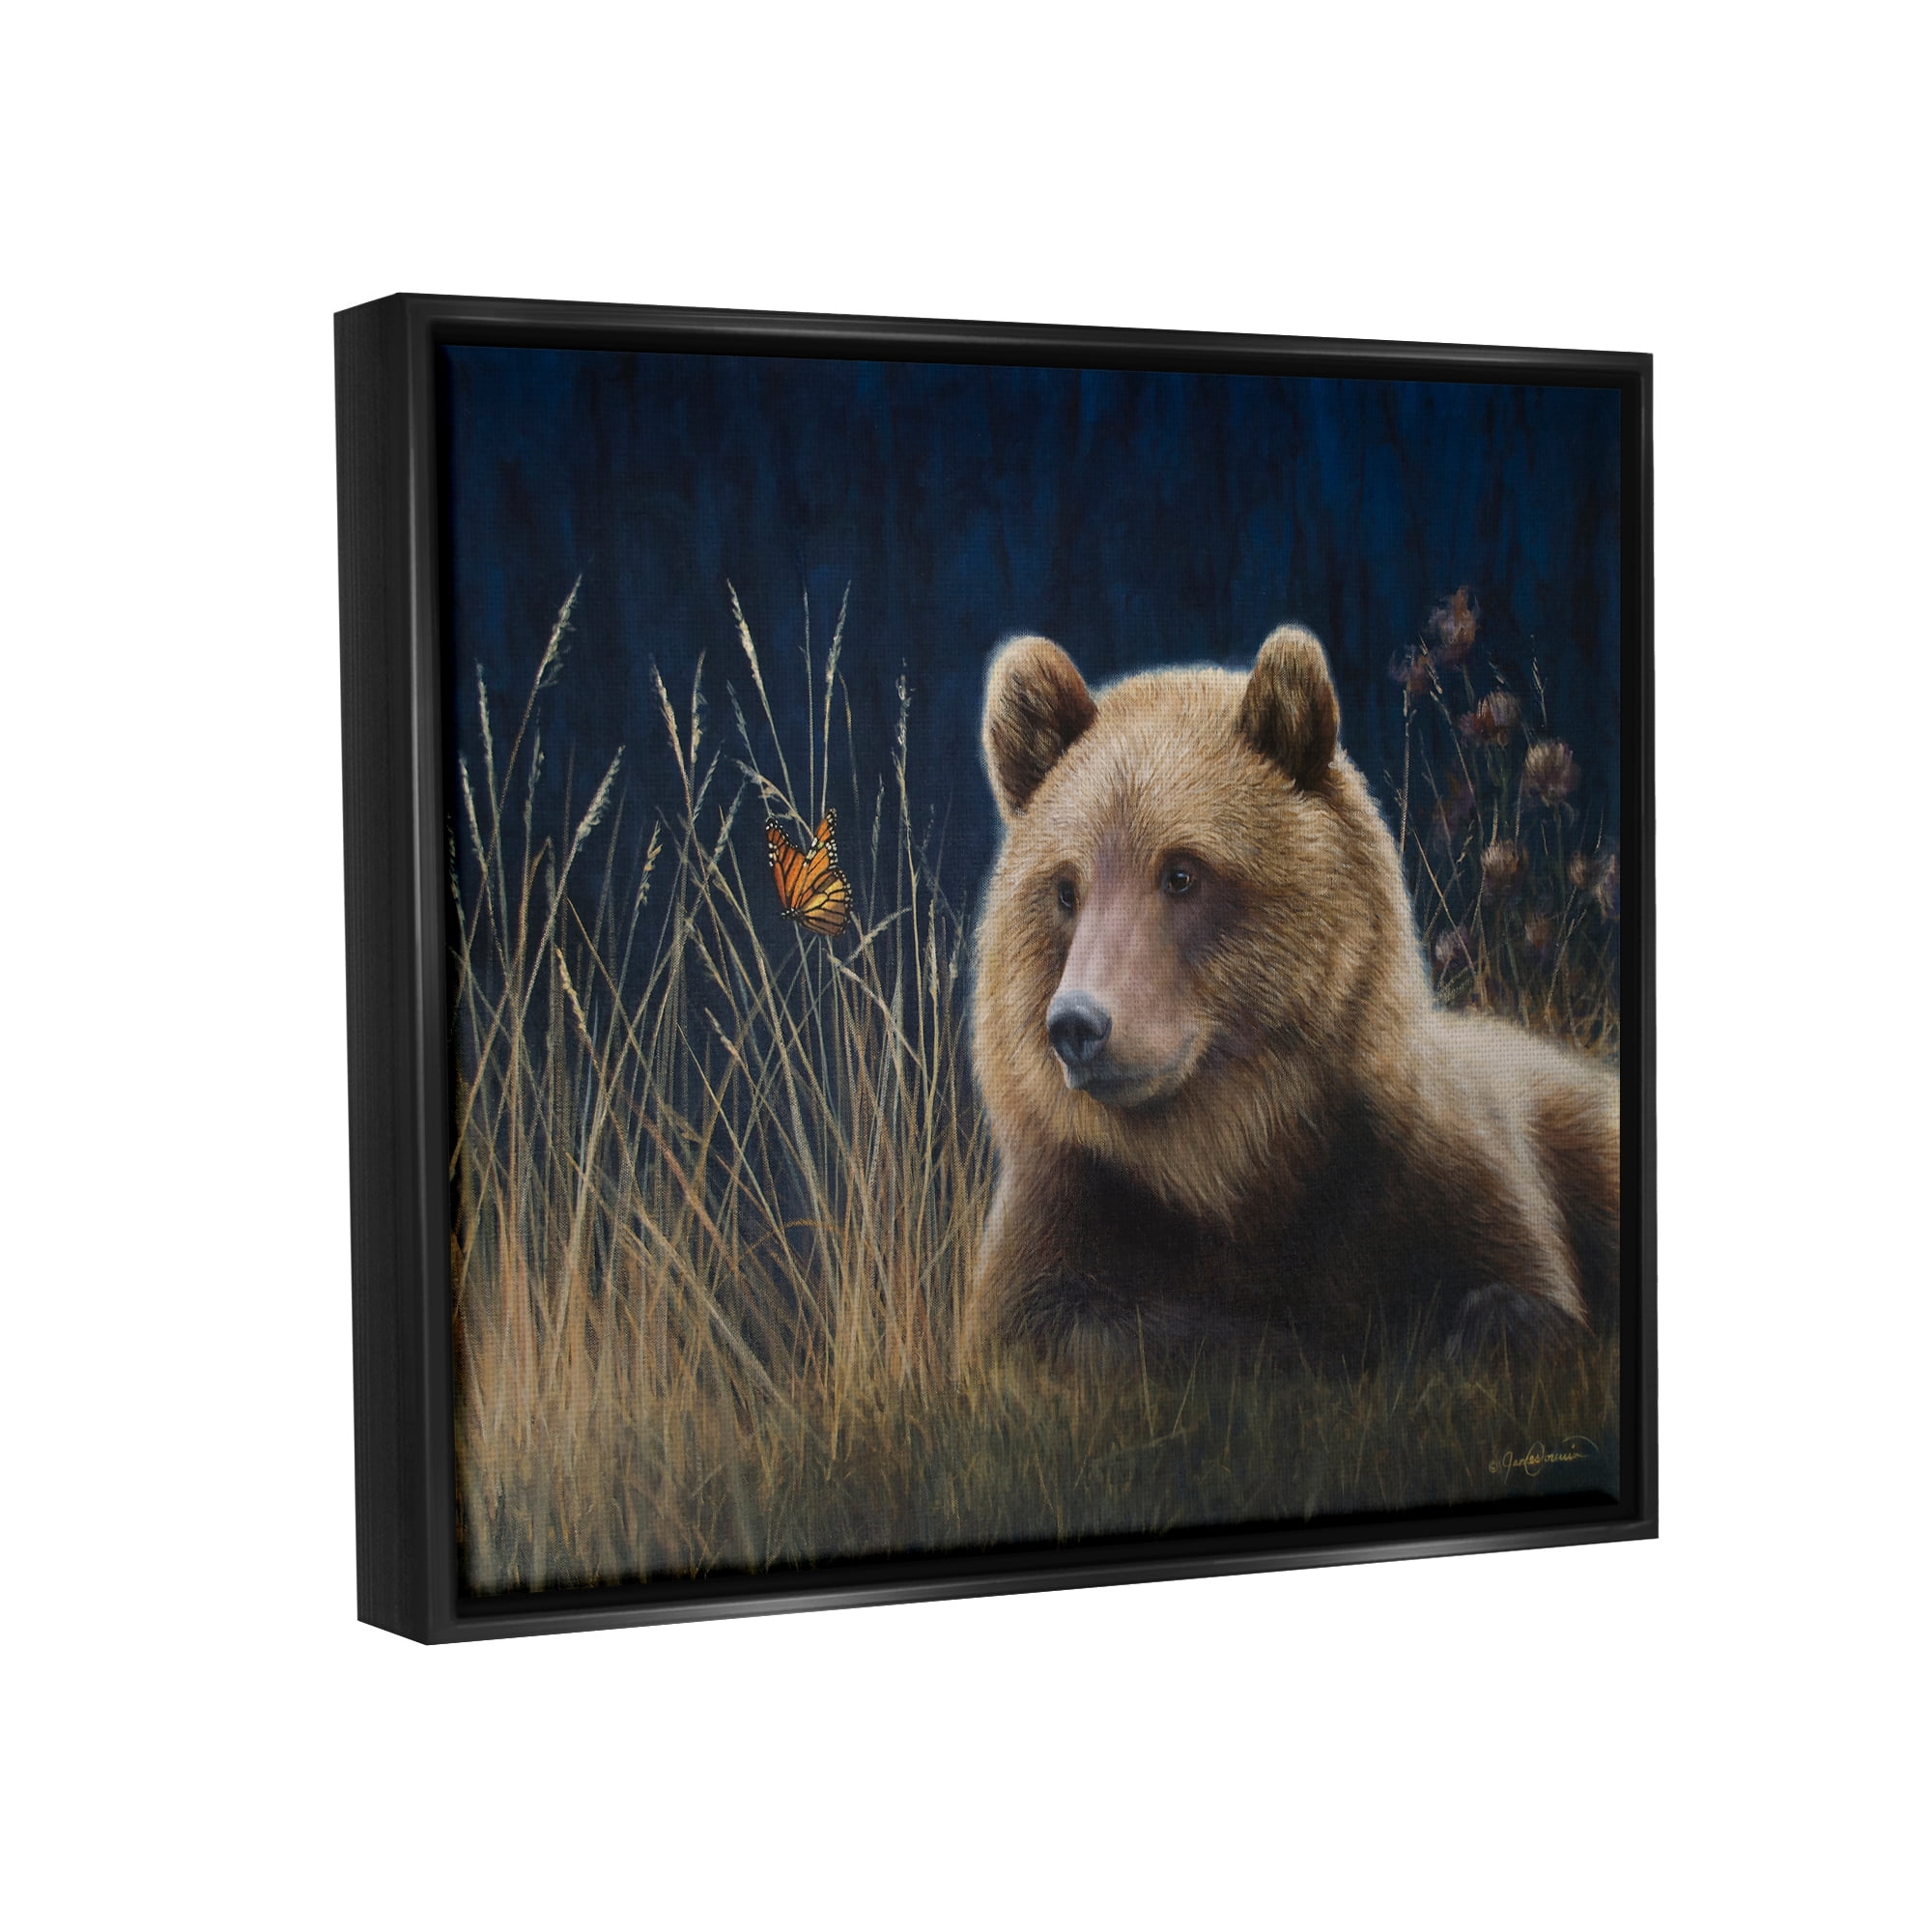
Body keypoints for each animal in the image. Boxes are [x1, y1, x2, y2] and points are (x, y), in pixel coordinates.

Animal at [966, 624, 1620, 1368]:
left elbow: (1518, 1286)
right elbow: (1060, 1328)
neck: (1228, 1155)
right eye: (1065, 888)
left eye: (1182, 872)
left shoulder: (1426, 1170)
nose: (1078, 1024)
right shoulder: (1069, 1207)